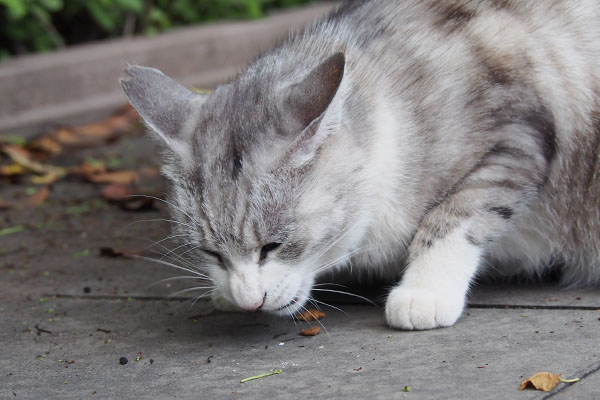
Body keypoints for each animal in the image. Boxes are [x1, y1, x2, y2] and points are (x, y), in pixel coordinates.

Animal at [122, 0, 600, 330]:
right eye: (211, 253)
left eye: (273, 246)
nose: (248, 301)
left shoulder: (518, 135)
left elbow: (454, 215)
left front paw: (424, 290)